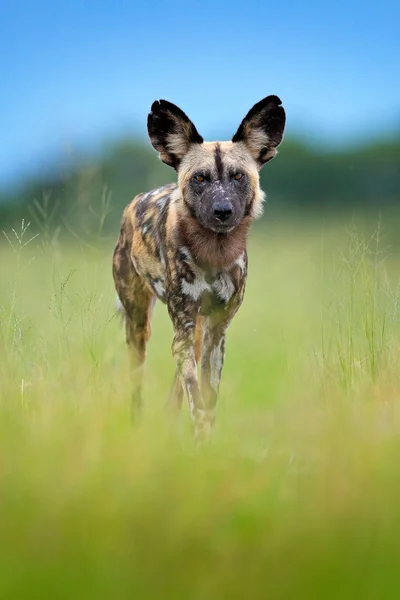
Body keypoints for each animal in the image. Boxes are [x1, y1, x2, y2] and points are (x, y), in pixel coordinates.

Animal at [113, 94, 284, 440]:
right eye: (200, 178)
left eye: (238, 176)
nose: (222, 211)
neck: (213, 254)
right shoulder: (183, 328)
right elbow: (196, 394)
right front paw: (201, 437)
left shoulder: (216, 331)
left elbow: (207, 396)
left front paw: (205, 440)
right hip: (140, 326)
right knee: (138, 382)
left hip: (196, 332)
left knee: (176, 390)